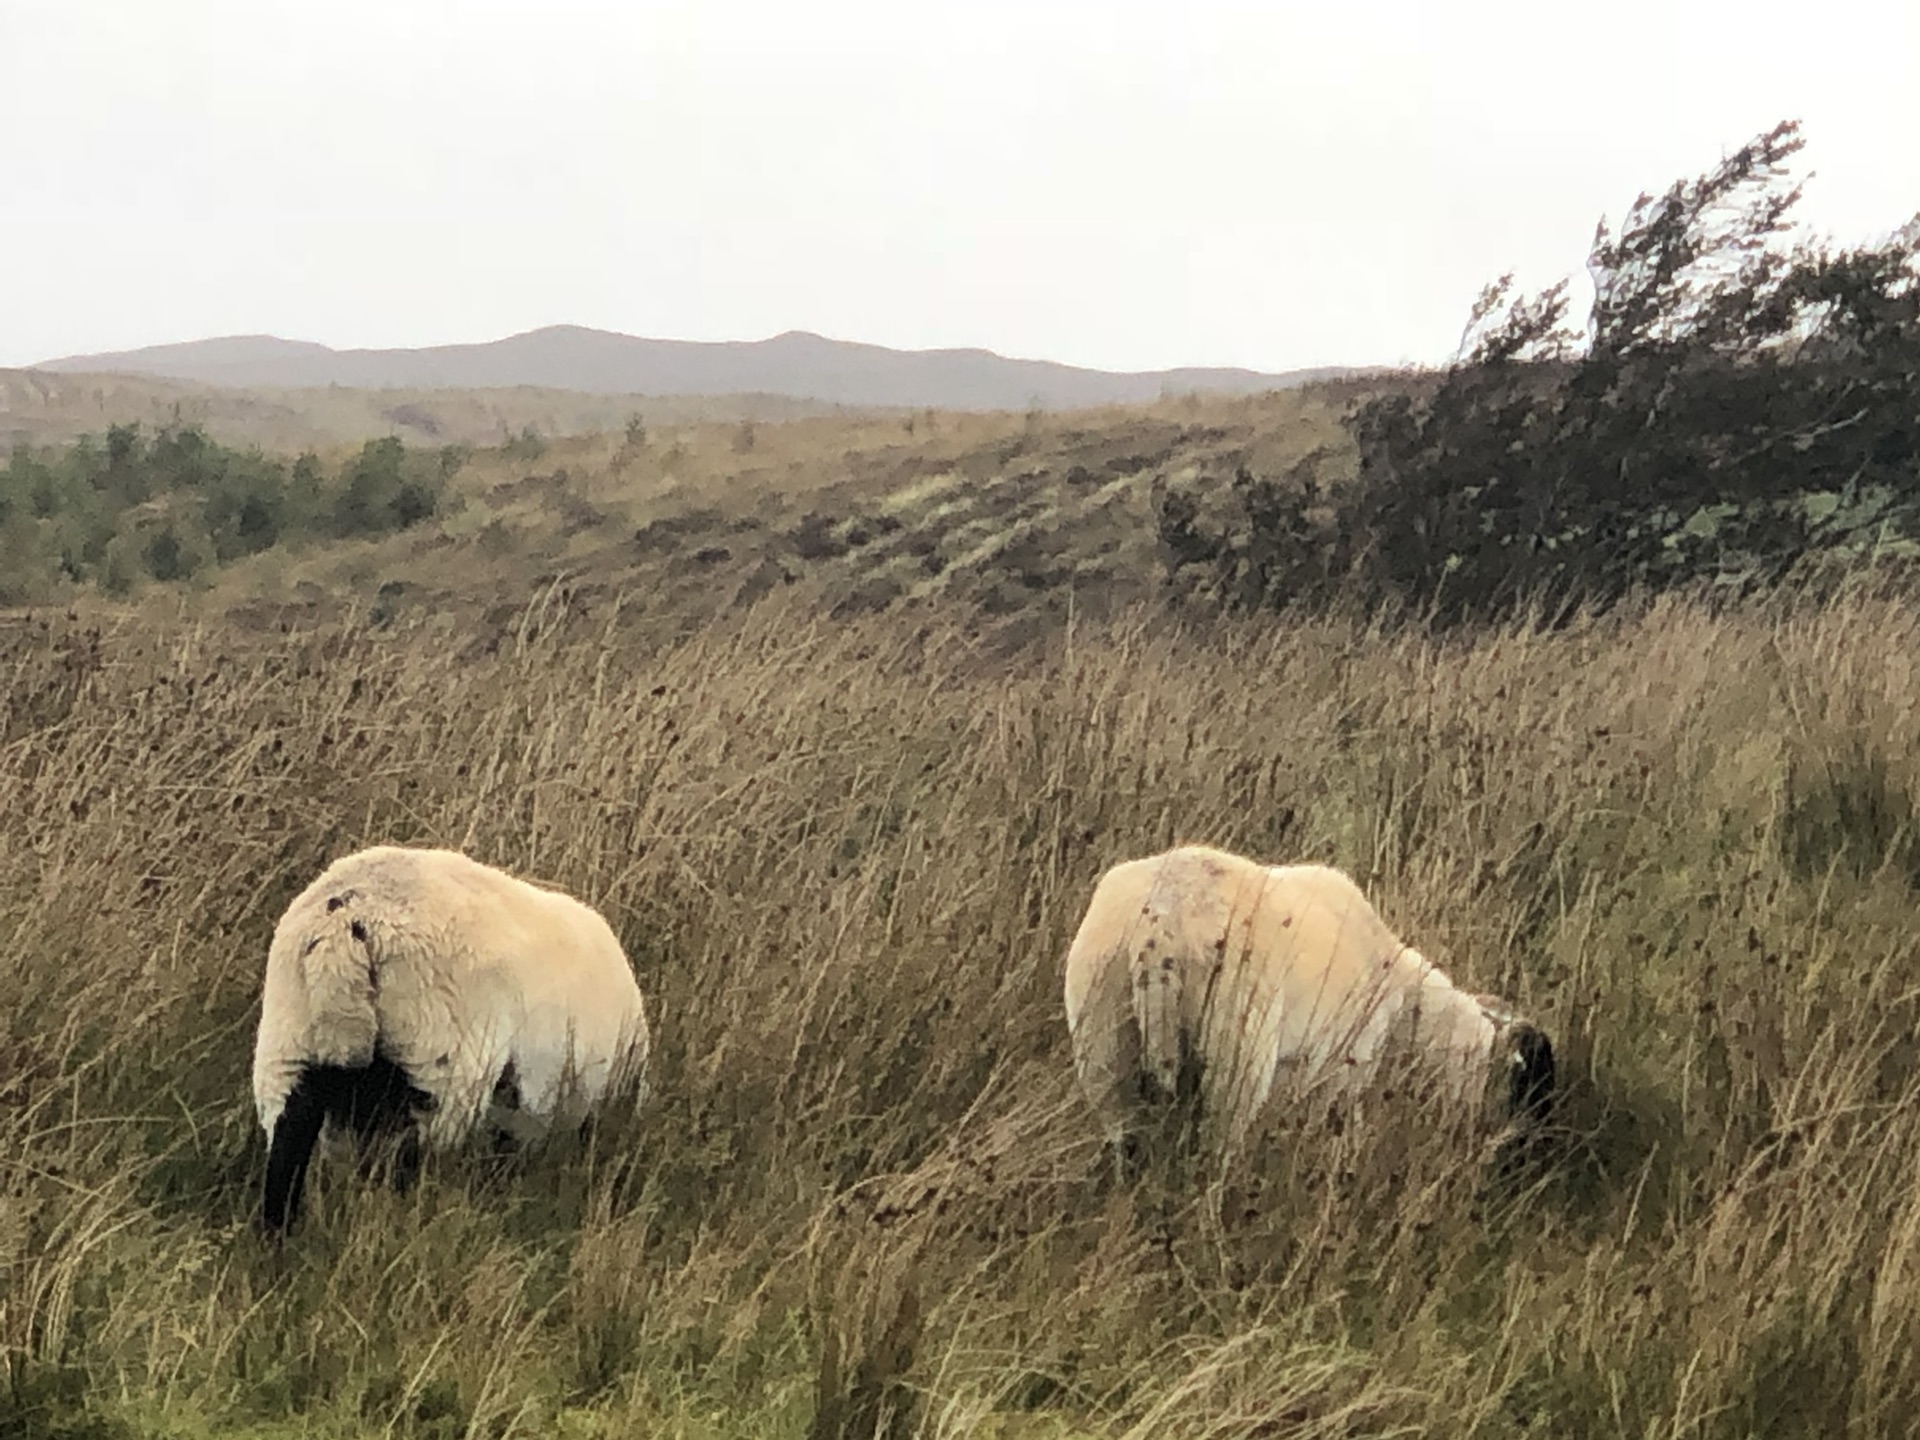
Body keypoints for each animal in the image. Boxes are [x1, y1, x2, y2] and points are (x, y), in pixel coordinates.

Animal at [253, 844, 652, 1244]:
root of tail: (350, 921)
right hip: (437, 1059)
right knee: (406, 1161)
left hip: (288, 1042)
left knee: (288, 1147)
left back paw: (280, 1243)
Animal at [1059, 840, 1551, 1175]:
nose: (1507, 1160)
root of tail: (1161, 925)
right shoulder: (1342, 1073)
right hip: (1236, 1051)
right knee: (1217, 1152)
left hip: (1102, 1040)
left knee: (1125, 1139)